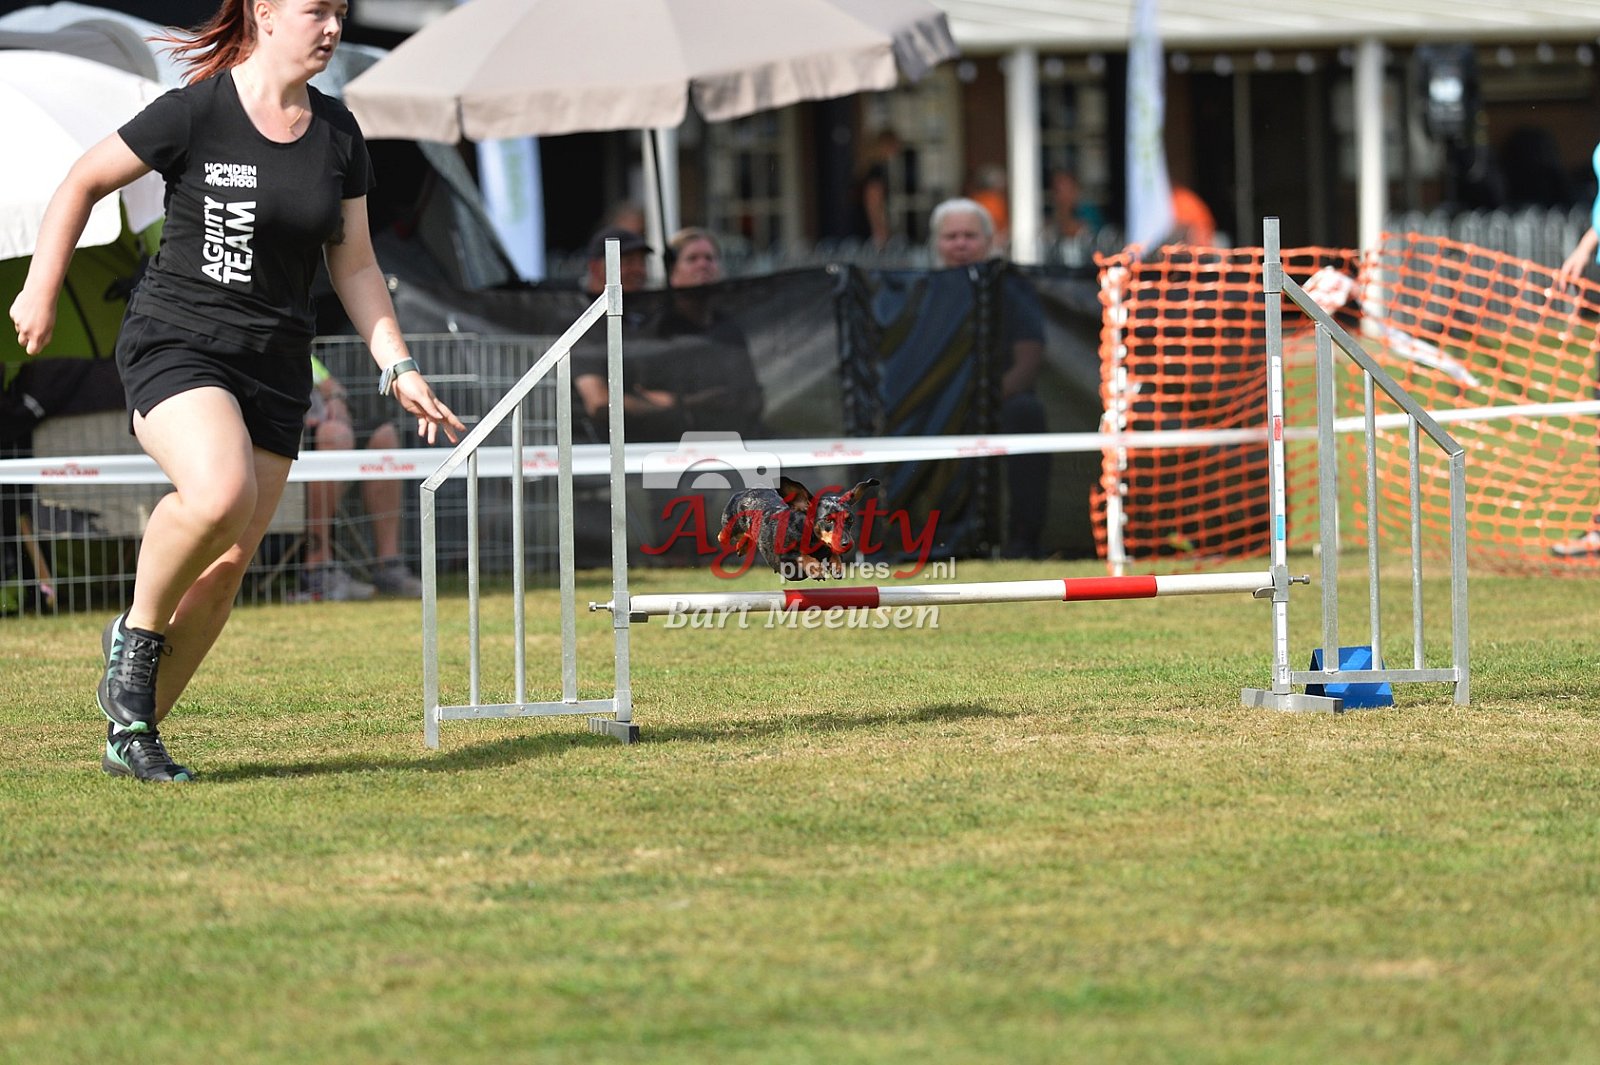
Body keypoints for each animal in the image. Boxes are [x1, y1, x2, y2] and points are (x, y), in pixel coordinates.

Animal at [719, 476, 879, 580]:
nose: (847, 544)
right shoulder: (783, 557)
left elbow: (834, 554)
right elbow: (801, 555)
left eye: (849, 519)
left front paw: (837, 567)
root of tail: (747, 492)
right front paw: (816, 569)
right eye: (828, 519)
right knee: (722, 535)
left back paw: (742, 547)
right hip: (731, 525)